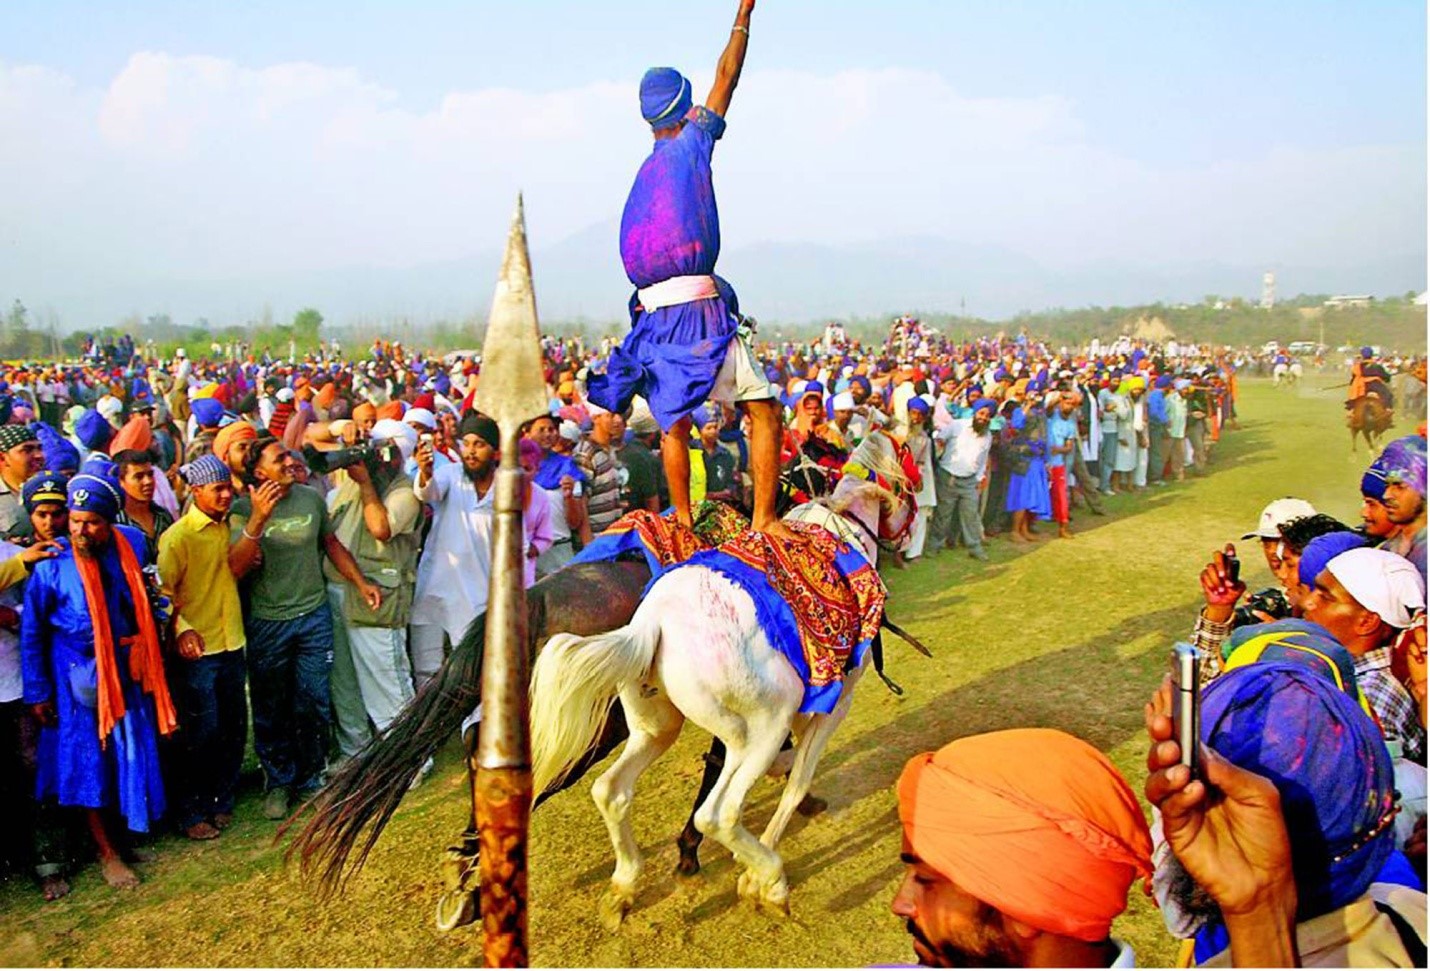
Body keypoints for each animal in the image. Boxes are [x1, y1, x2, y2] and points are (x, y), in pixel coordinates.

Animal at [529, 437, 915, 932]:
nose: (910, 529)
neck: (842, 530)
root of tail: (652, 623)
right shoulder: (835, 701)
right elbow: (798, 778)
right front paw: (757, 873)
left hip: (656, 727)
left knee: (611, 791)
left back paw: (622, 889)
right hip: (756, 729)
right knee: (717, 813)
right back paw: (770, 878)